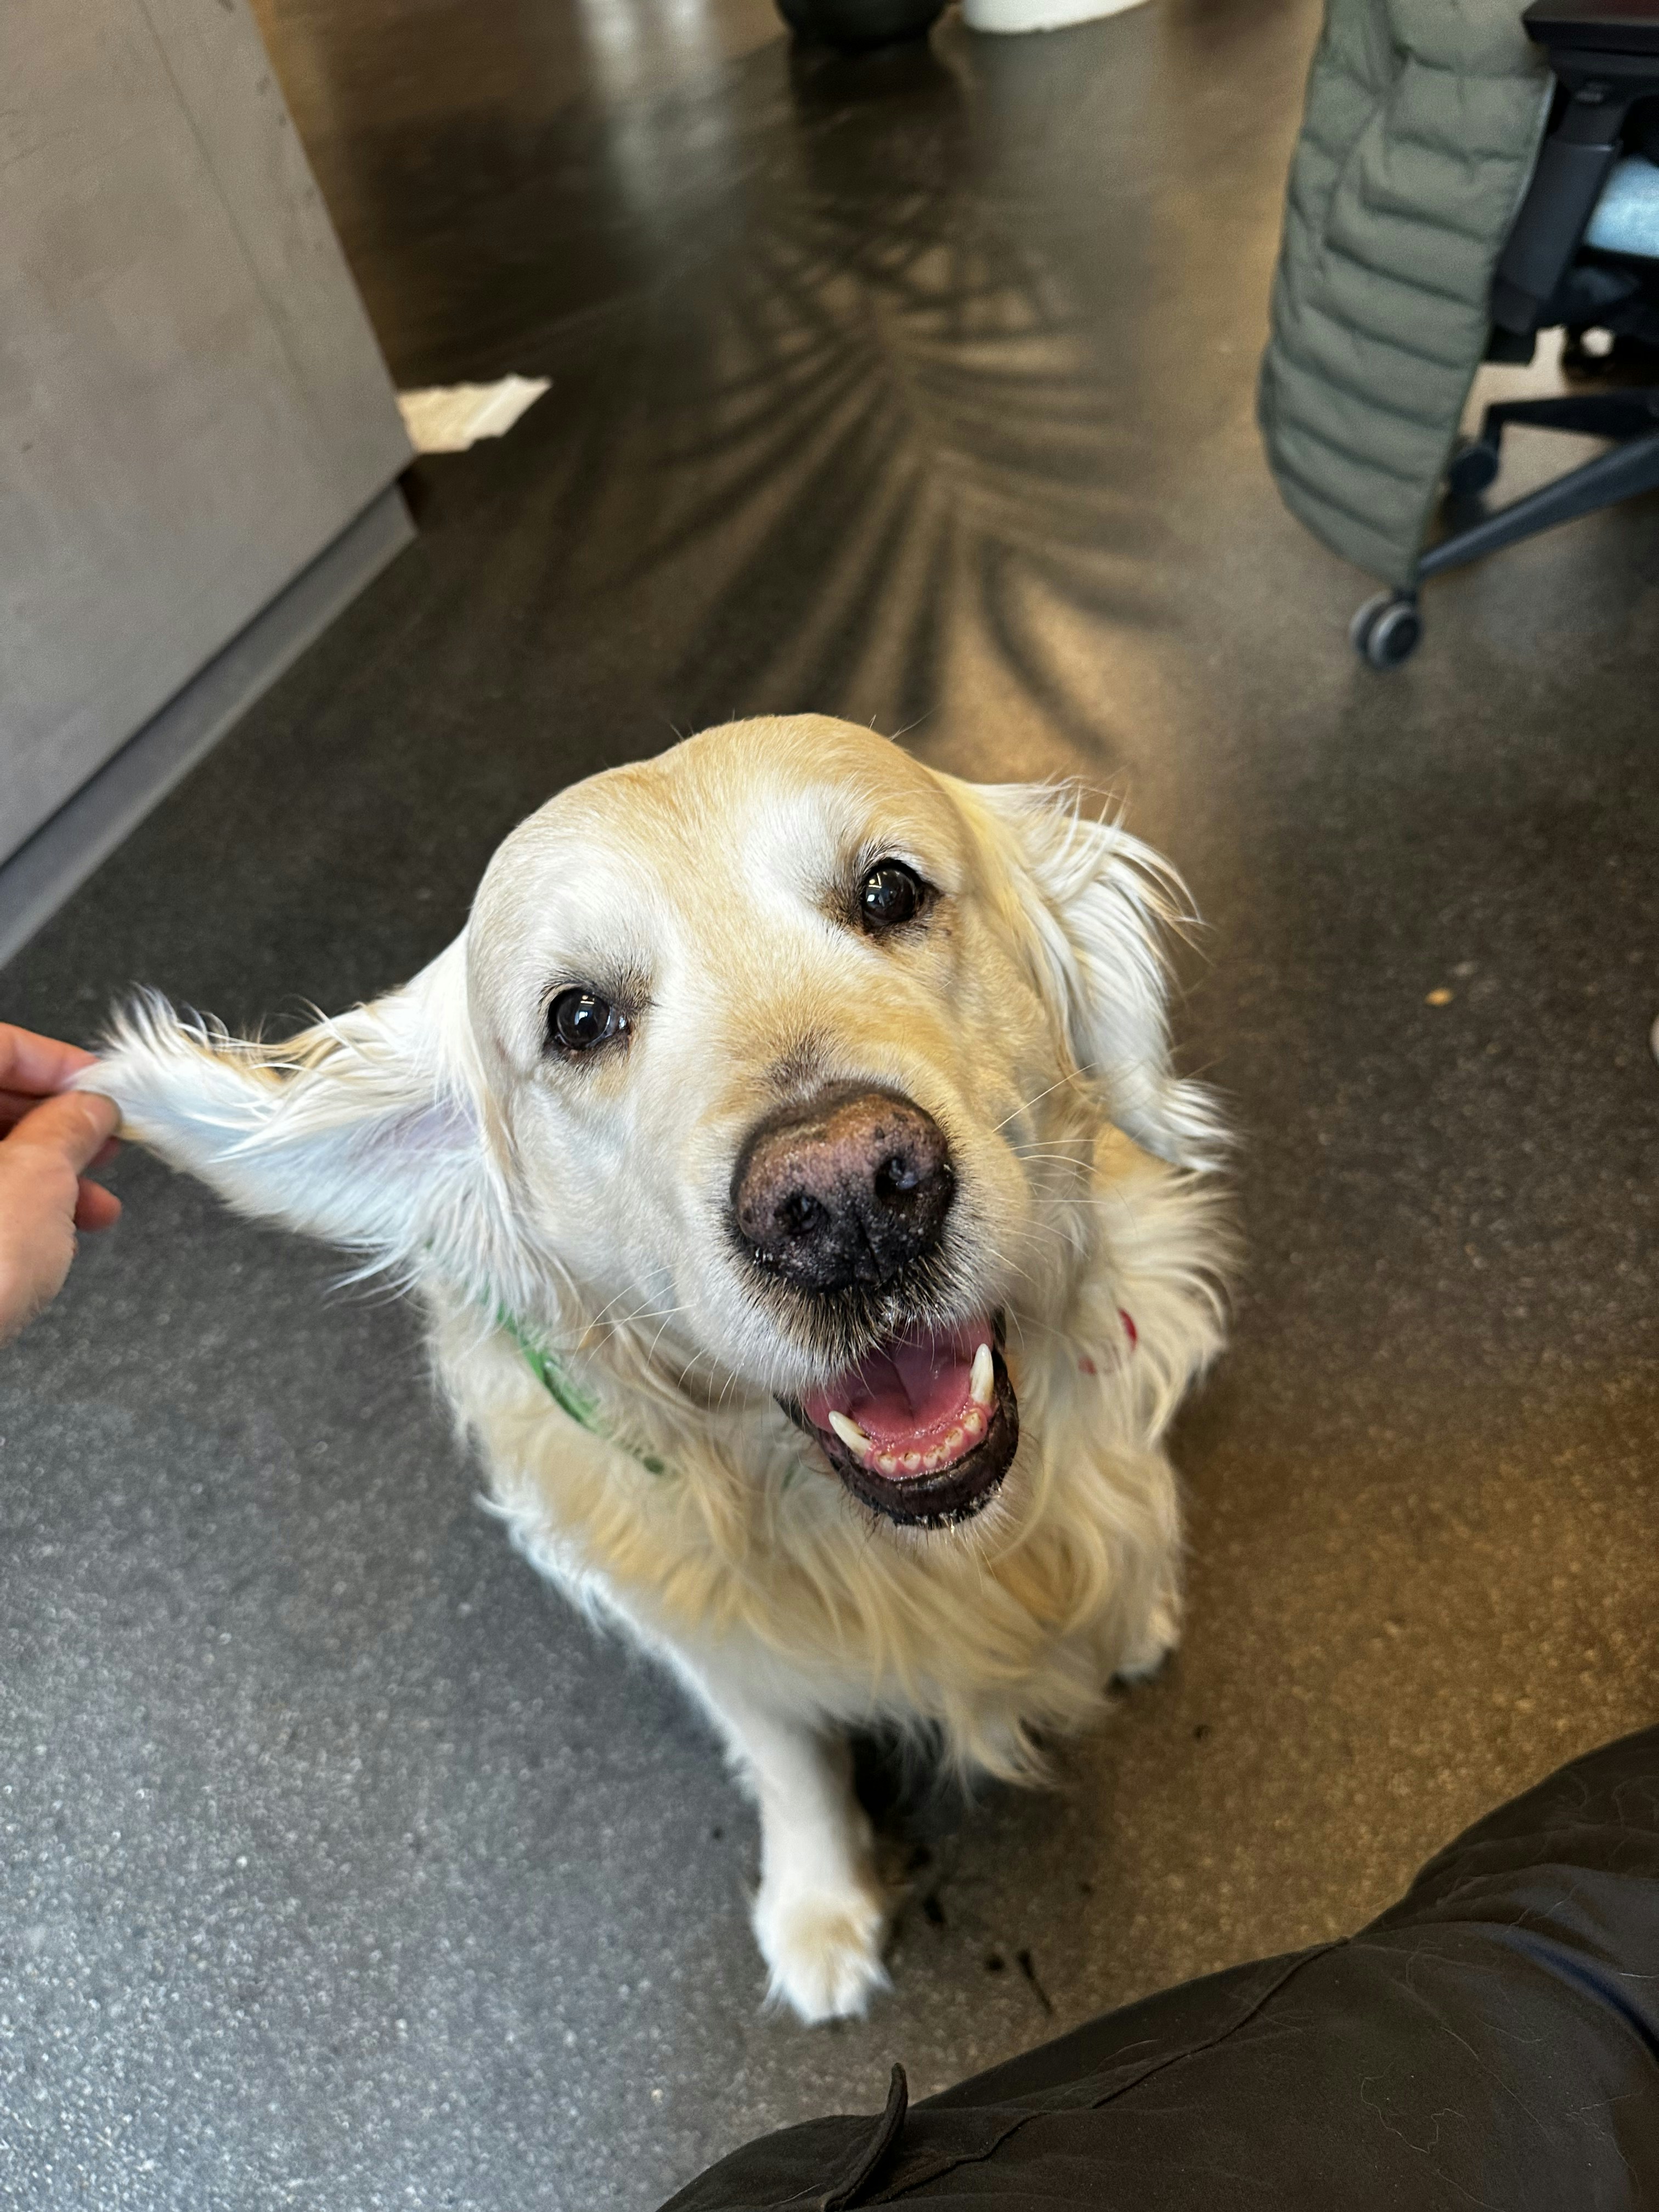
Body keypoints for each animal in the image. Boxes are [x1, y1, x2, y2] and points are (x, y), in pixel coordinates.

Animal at [88, 715, 1229, 2022]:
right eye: (578, 1019)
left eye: (889, 891)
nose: (845, 1199)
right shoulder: (705, 1623)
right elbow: (784, 1749)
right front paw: (817, 1904)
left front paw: (1134, 1606)